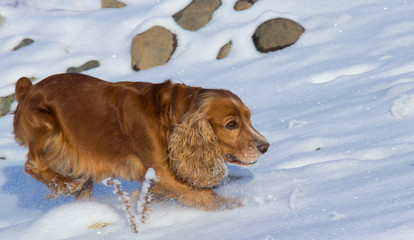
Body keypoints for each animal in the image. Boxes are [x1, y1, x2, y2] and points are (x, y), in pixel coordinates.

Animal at [12, 73, 268, 210]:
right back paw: (66, 183)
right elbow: (205, 196)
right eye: (231, 124)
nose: (265, 146)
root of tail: (27, 90)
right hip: (48, 130)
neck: (169, 115)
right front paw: (237, 206)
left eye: (249, 117)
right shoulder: (162, 174)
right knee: (32, 166)